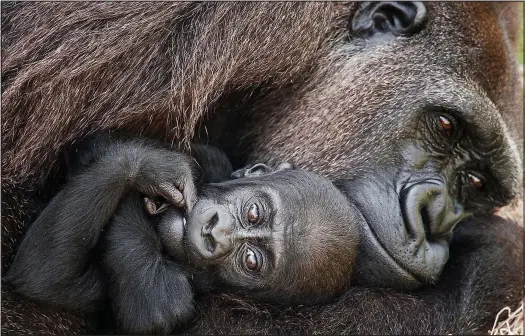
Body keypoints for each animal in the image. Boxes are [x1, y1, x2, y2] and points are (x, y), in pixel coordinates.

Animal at [6, 135, 360, 334]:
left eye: (251, 260)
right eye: (254, 213)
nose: (214, 231)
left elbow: (46, 275)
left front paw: (142, 166)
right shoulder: (214, 157)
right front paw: (156, 166)